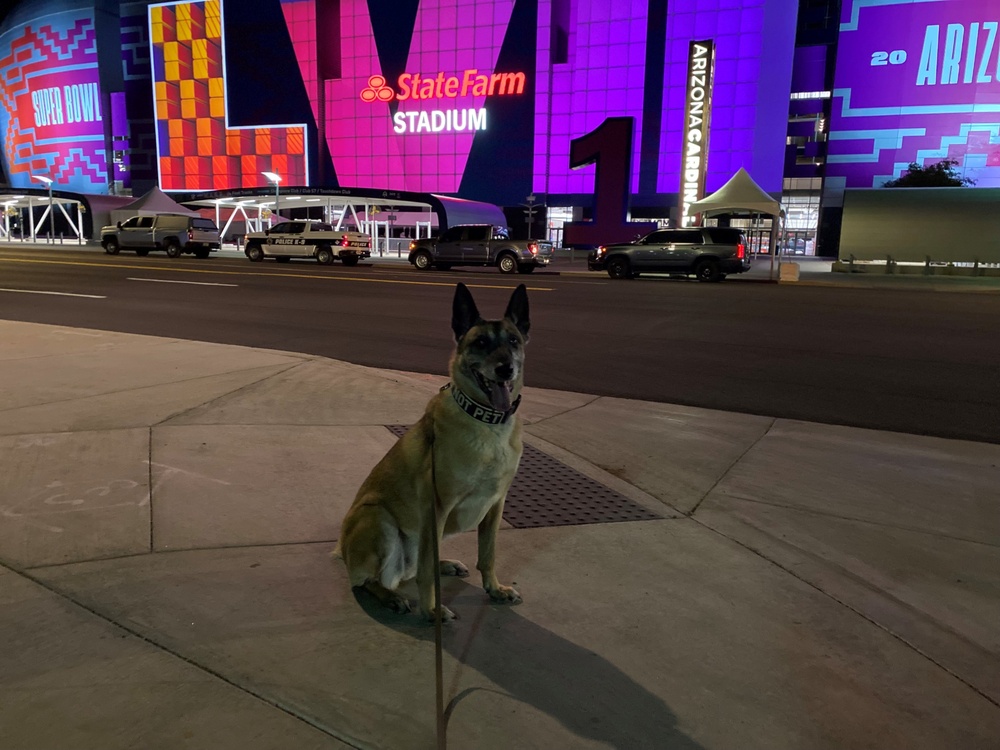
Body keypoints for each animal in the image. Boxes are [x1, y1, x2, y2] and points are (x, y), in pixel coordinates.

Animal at [334, 284, 532, 624]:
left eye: (513, 341)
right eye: (480, 343)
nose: (505, 368)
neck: (486, 423)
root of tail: (342, 549)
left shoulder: (495, 504)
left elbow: (488, 554)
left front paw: (494, 589)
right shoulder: (438, 506)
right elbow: (428, 574)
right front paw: (431, 610)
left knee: (416, 567)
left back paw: (444, 565)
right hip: (378, 517)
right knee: (369, 581)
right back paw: (391, 596)